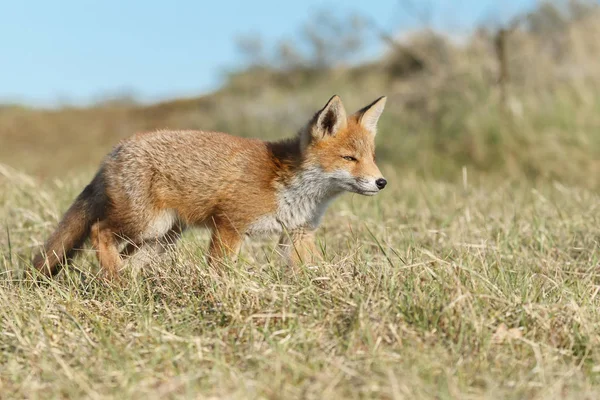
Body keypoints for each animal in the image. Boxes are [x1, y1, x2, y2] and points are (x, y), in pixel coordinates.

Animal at [34, 95, 390, 280]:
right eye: (349, 158)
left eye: (371, 158)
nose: (381, 182)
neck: (292, 187)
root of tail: (116, 150)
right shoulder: (229, 225)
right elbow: (221, 271)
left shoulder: (298, 234)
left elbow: (316, 269)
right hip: (146, 224)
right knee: (98, 230)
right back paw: (115, 278)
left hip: (161, 238)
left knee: (126, 257)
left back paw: (125, 285)